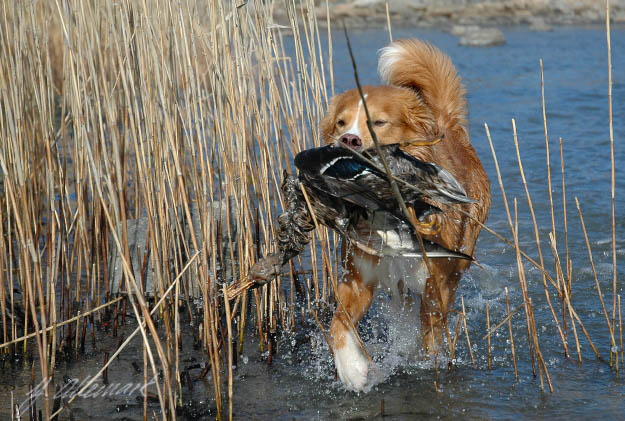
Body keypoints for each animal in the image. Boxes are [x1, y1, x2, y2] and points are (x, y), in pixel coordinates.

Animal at [320, 37, 490, 388]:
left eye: (378, 123)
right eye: (341, 122)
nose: (348, 139)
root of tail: (446, 122)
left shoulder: (437, 286)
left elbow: (430, 337)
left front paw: (423, 363)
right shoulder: (357, 277)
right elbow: (338, 324)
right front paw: (353, 369)